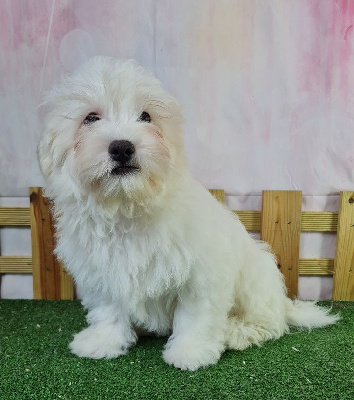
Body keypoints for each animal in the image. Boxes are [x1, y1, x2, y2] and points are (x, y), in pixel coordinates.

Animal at [37, 55, 338, 368]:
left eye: (146, 116)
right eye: (90, 118)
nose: (121, 147)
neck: (127, 206)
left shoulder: (201, 274)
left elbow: (196, 316)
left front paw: (190, 352)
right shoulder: (101, 273)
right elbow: (109, 310)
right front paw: (102, 342)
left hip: (256, 285)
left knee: (269, 324)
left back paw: (236, 332)